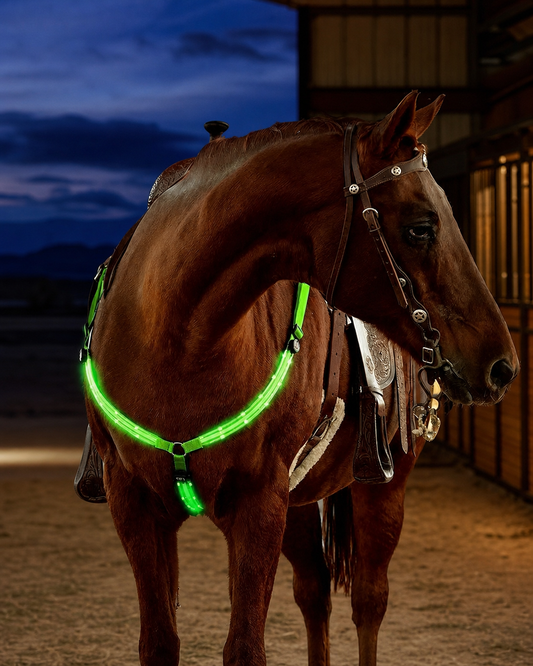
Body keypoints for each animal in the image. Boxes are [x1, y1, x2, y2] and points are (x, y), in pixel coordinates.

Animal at [83, 91, 518, 666]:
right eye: (421, 227)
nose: (502, 365)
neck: (176, 340)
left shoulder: (259, 503)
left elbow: (246, 646)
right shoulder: (134, 503)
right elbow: (161, 641)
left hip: (384, 484)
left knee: (368, 600)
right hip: (298, 504)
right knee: (314, 593)